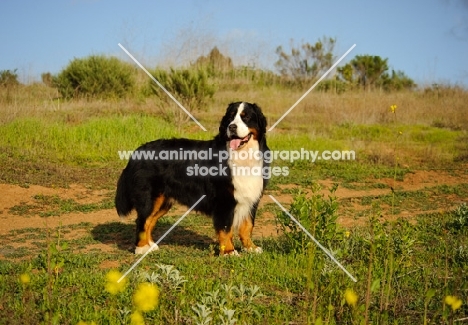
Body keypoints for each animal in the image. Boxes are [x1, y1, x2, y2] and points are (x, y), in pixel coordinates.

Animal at [114, 102, 270, 254]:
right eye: (230, 117)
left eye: (246, 117)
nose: (232, 127)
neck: (242, 156)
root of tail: (138, 151)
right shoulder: (224, 200)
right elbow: (226, 229)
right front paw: (229, 252)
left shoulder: (251, 198)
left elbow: (247, 226)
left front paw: (250, 248)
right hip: (149, 197)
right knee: (142, 220)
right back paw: (141, 248)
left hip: (163, 200)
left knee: (150, 220)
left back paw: (150, 245)